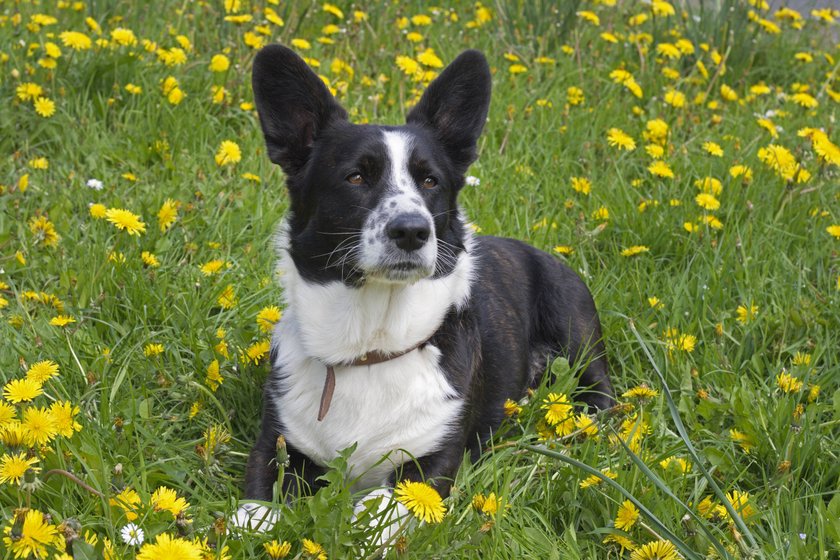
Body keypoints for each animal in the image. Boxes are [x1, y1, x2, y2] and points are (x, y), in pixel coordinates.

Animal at [233, 43, 612, 532]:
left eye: (430, 181)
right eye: (356, 177)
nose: (412, 231)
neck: (370, 347)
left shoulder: (430, 466)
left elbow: (377, 510)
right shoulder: (275, 445)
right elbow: (255, 511)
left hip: (576, 330)